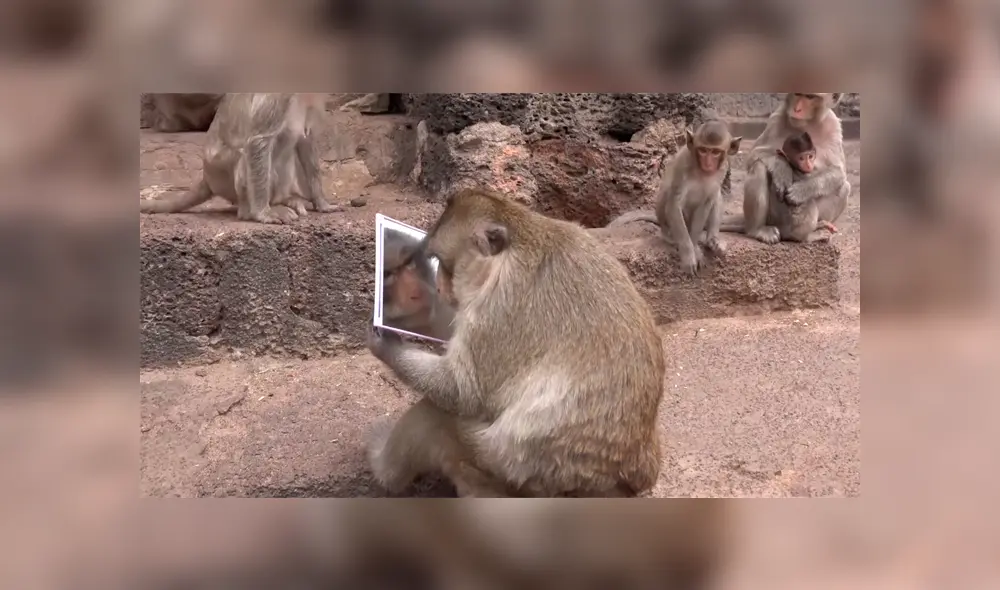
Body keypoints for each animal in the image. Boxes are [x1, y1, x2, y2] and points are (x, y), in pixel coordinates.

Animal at [140, 93, 336, 224]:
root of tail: (207, 177)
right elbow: (258, 141)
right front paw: (263, 213)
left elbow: (306, 140)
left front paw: (321, 202)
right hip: (224, 177)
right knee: (243, 156)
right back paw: (249, 212)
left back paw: (284, 200)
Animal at [367, 188, 665, 498]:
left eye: (444, 264)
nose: (437, 286)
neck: (519, 244)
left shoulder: (497, 308)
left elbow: (463, 391)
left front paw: (386, 345)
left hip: (500, 475)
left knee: (437, 415)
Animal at [720, 92, 851, 244]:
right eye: (798, 94)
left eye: (810, 97)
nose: (797, 109)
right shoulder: (776, 118)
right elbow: (754, 154)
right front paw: (782, 169)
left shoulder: (833, 125)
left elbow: (838, 171)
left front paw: (801, 191)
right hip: (775, 217)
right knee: (759, 167)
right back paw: (760, 230)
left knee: (844, 187)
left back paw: (815, 229)